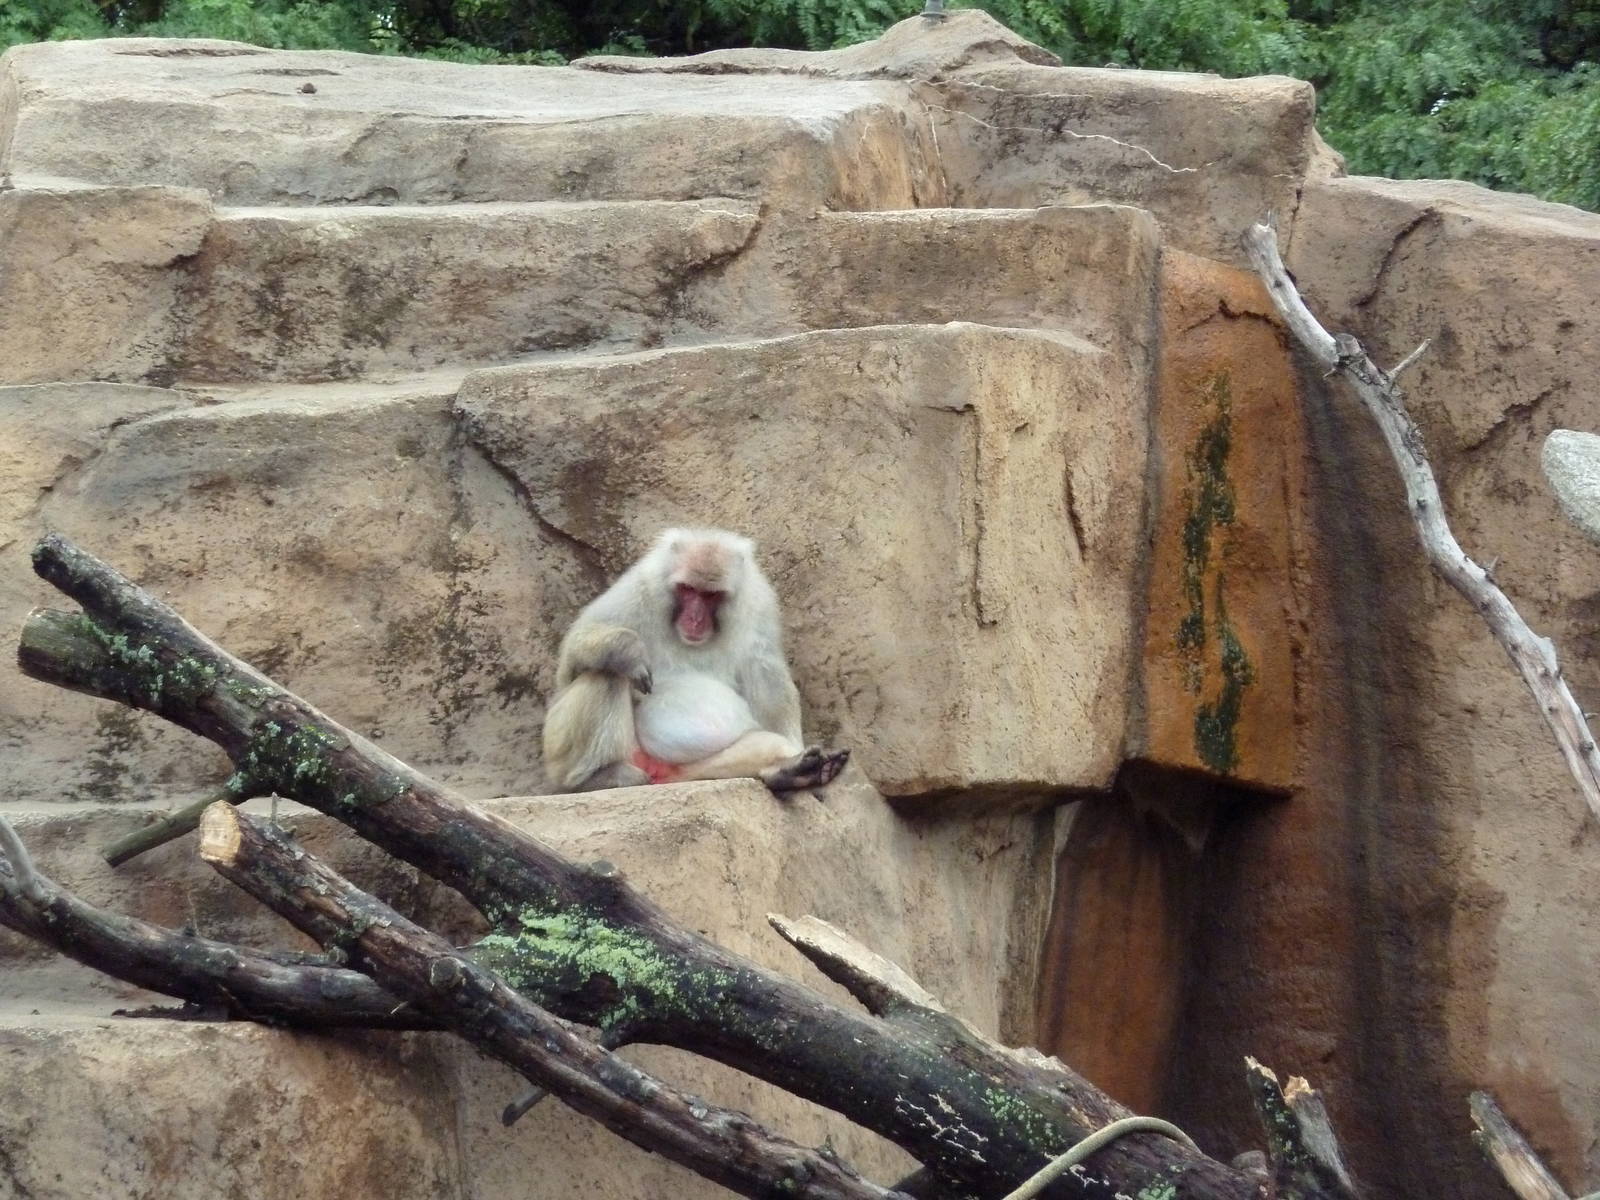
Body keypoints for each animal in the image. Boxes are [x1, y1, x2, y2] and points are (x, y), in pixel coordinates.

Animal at [541, 528, 849, 796]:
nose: (695, 619)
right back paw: (593, 777)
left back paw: (788, 771)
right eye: (688, 589)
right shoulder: (639, 589)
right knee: (607, 674)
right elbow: (571, 660)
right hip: (565, 751)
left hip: (687, 770)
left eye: (711, 595)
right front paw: (627, 651)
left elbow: (768, 681)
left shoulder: (759, 604)